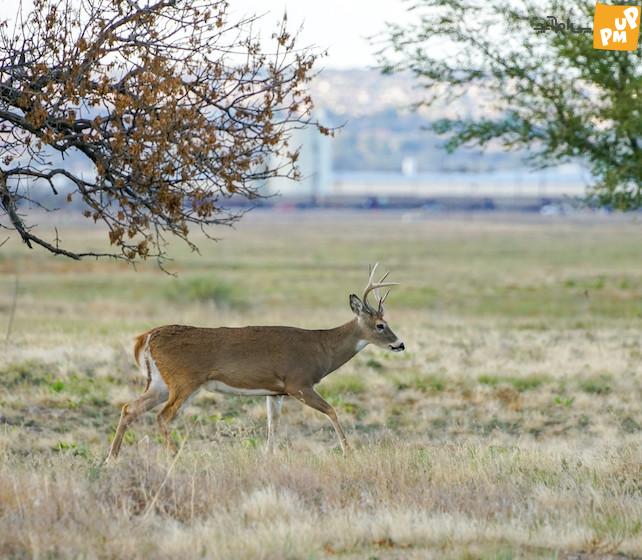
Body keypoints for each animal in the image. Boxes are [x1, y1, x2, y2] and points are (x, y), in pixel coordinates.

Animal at [107, 264, 402, 462]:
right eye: (380, 325)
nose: (400, 344)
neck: (322, 348)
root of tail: (146, 337)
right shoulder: (298, 382)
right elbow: (331, 411)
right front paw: (348, 451)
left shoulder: (275, 391)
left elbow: (273, 424)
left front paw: (269, 456)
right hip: (184, 380)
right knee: (163, 417)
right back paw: (174, 456)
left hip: (159, 382)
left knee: (129, 409)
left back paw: (112, 458)